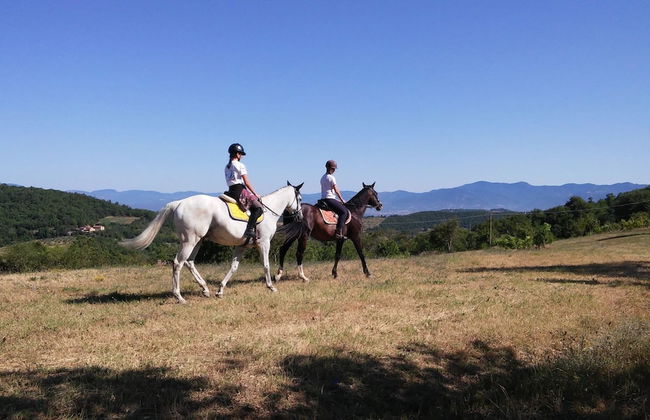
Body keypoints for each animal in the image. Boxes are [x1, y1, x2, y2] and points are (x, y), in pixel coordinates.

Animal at [120, 182, 303, 303]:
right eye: (300, 198)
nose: (300, 216)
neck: (268, 211)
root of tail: (178, 203)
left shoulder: (241, 246)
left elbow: (233, 267)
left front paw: (220, 290)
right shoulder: (264, 243)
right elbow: (265, 265)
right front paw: (271, 286)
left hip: (198, 241)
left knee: (189, 262)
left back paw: (205, 289)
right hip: (189, 241)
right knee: (178, 263)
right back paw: (179, 297)